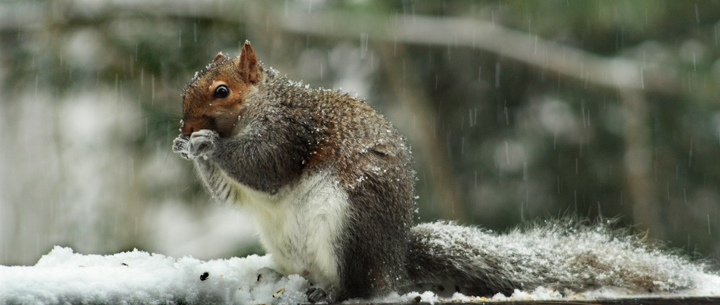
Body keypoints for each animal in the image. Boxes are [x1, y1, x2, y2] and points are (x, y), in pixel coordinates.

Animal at [173, 41, 704, 302]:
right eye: (188, 89)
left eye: (221, 91)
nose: (184, 126)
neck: (262, 106)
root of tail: (394, 261)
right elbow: (231, 193)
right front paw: (186, 147)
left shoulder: (291, 135)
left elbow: (264, 167)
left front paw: (208, 145)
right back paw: (276, 277)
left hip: (347, 223)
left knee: (362, 288)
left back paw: (332, 291)